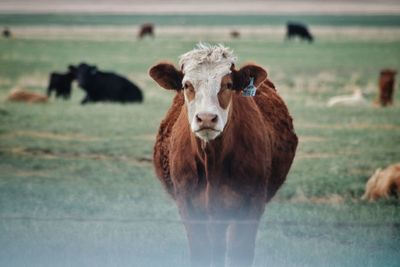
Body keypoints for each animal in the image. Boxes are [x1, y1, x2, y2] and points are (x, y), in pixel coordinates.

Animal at [149, 44, 296, 267]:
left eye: (228, 84)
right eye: (186, 85)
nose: (206, 118)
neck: (213, 164)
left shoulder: (250, 207)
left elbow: (239, 252)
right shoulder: (189, 207)